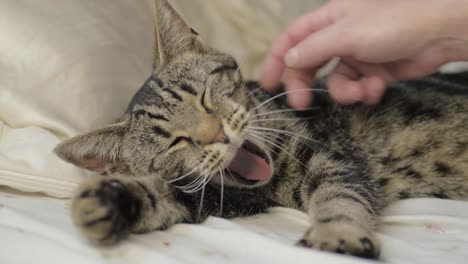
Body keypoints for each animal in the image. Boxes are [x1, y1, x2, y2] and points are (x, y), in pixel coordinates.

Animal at [54, 0, 468, 260]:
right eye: (176, 142)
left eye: (203, 97)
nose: (218, 135)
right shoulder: (225, 198)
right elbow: (167, 196)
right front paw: (109, 200)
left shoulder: (331, 156)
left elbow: (338, 196)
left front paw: (336, 234)